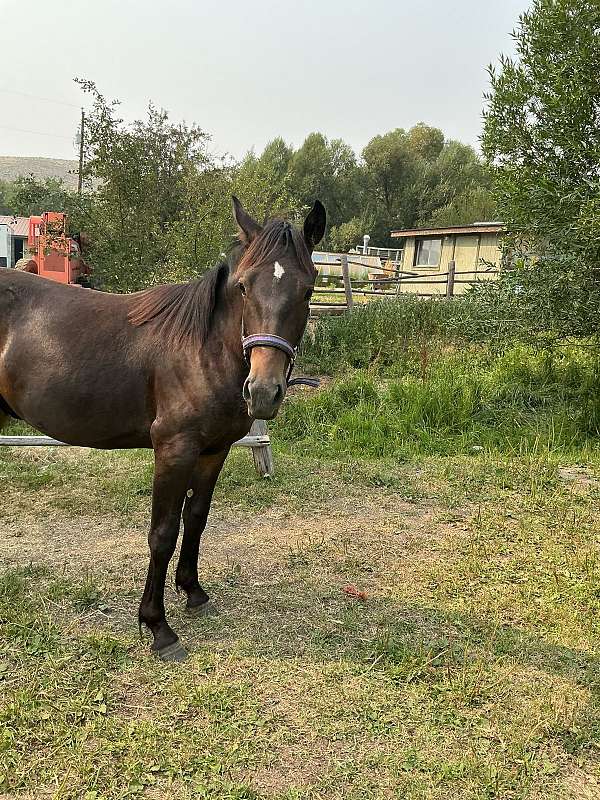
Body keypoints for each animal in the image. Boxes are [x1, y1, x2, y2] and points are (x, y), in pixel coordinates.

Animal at [0, 197, 326, 661]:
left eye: (308, 291)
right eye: (244, 287)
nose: (263, 391)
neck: (202, 349)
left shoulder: (213, 450)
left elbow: (197, 518)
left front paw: (194, 592)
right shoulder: (174, 450)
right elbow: (163, 533)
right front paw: (158, 627)